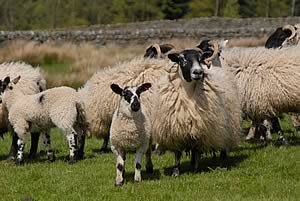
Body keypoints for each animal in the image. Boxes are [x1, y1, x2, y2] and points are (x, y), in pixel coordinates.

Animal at [152, 47, 241, 176]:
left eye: (200, 59)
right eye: (182, 59)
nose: (198, 72)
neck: (188, 94)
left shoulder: (201, 128)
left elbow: (196, 149)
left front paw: (196, 168)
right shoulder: (176, 129)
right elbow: (178, 153)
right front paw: (176, 171)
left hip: (225, 125)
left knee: (222, 142)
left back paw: (221, 159)